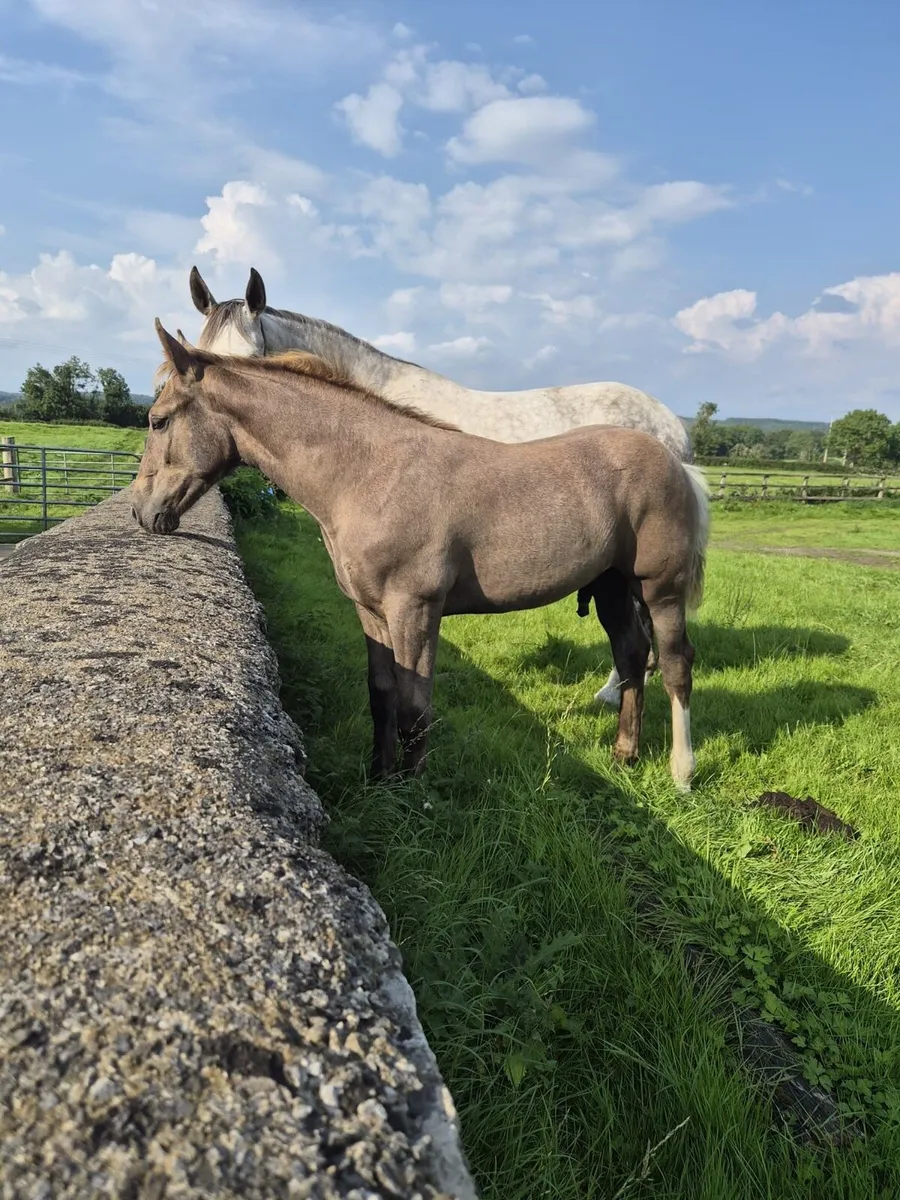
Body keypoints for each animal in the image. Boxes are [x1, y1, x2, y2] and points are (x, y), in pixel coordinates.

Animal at [133, 320, 710, 792]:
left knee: (675, 664)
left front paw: (414, 798)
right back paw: (624, 755)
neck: (369, 472)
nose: (142, 511)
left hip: (658, 588)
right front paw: (380, 780)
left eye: (158, 420)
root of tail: (676, 460)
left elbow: (414, 706)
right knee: (632, 657)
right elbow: (382, 695)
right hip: (611, 583)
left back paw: (682, 773)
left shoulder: (415, 610)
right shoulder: (372, 613)